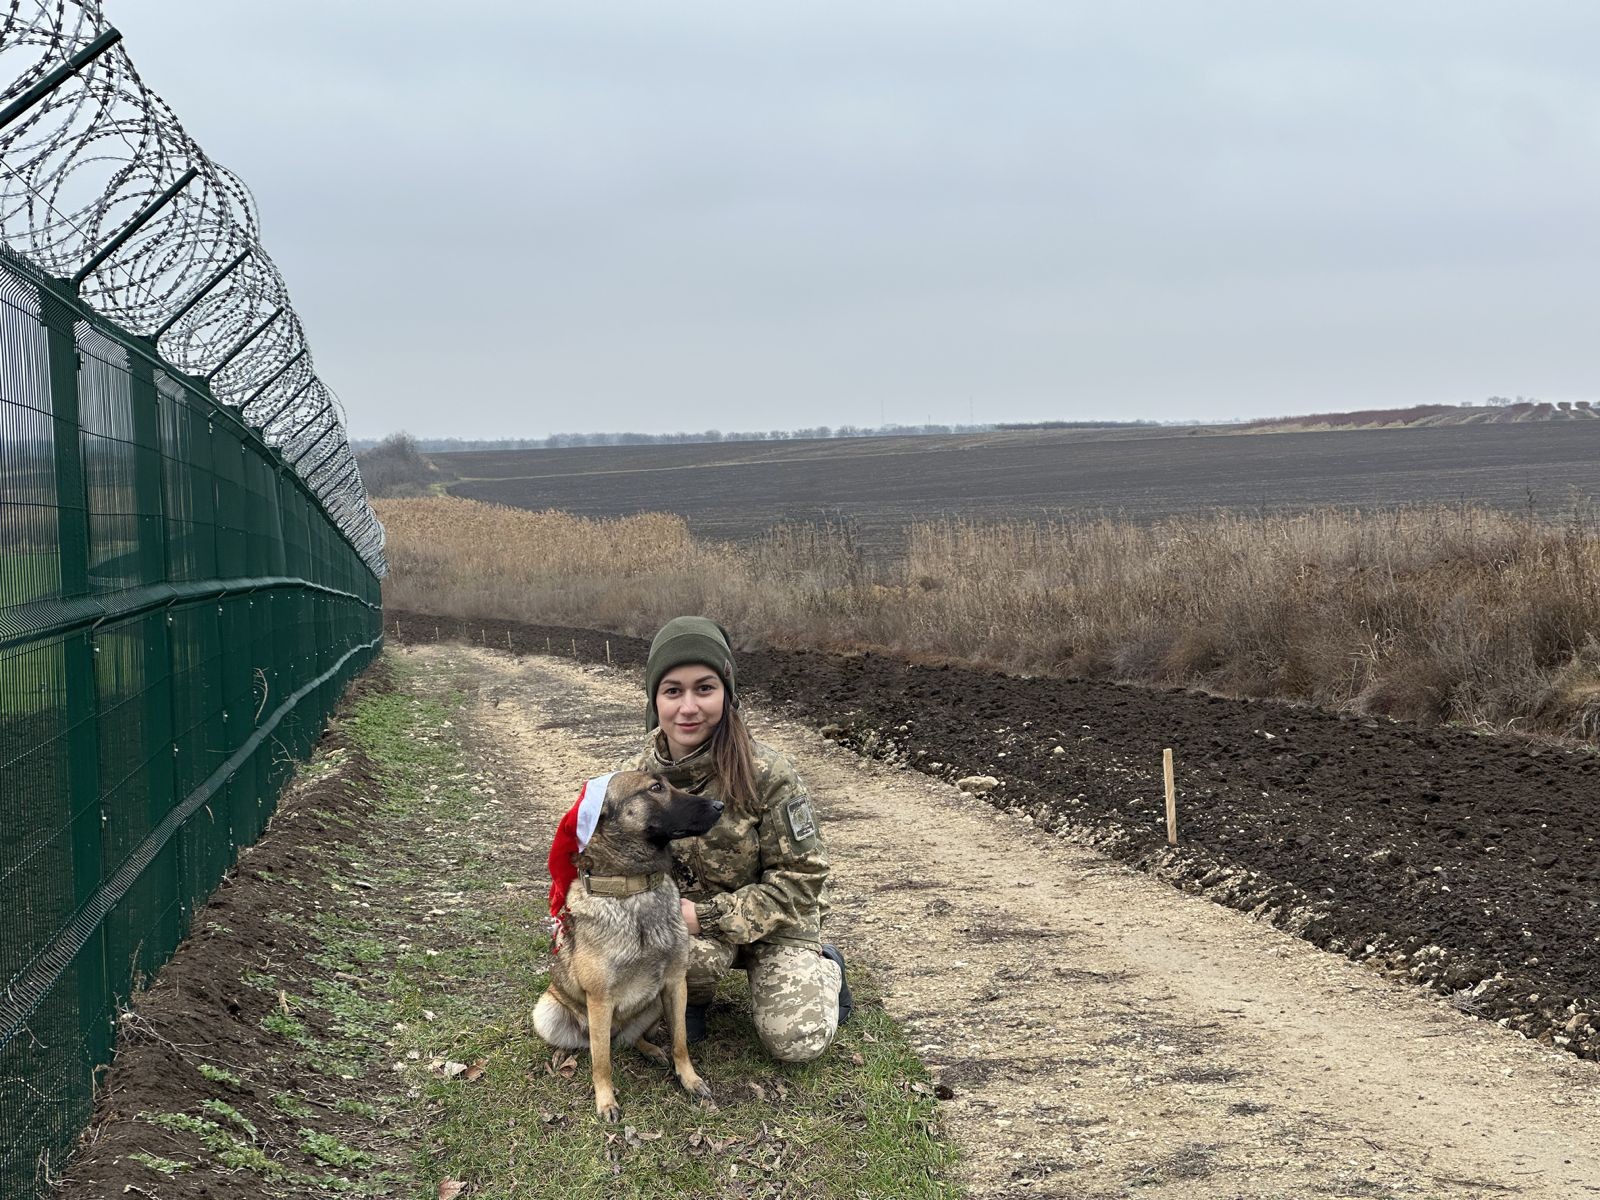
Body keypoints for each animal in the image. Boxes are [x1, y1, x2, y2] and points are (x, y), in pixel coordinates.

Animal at [534, 774, 723, 1126]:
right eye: (655, 788)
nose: (720, 805)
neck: (635, 889)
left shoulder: (675, 983)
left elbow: (680, 1042)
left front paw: (688, 1079)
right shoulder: (599, 999)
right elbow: (602, 1063)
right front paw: (605, 1100)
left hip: (654, 1004)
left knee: (631, 1039)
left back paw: (650, 1049)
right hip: (549, 1012)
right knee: (590, 1045)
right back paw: (565, 1055)